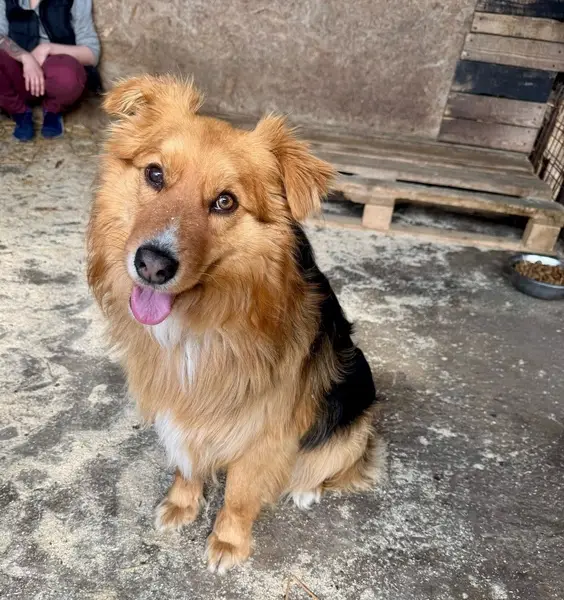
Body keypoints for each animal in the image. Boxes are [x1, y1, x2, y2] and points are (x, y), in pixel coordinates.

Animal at [87, 75, 386, 573]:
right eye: (154, 174)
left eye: (225, 202)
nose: (152, 264)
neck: (202, 319)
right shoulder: (179, 397)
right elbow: (186, 460)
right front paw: (183, 504)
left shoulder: (267, 425)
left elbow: (242, 493)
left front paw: (228, 542)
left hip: (352, 423)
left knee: (336, 466)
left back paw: (306, 490)